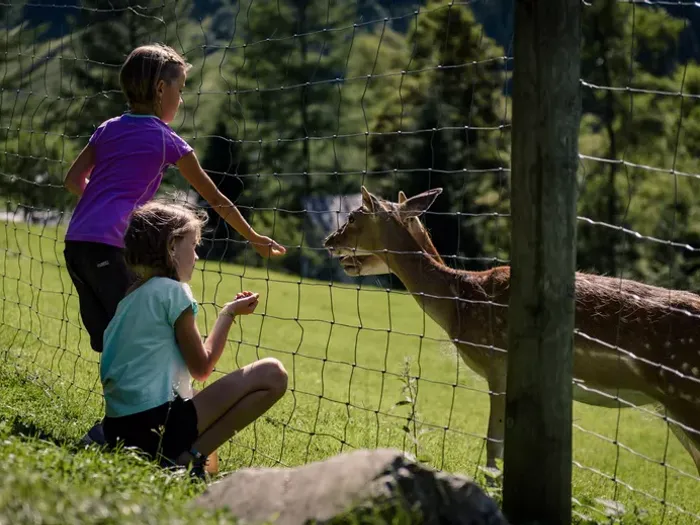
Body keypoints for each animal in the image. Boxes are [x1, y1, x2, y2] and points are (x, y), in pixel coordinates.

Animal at [324, 186, 700, 478]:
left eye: (353, 216)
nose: (330, 241)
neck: (459, 302)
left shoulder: (499, 363)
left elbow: (494, 443)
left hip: (685, 392)